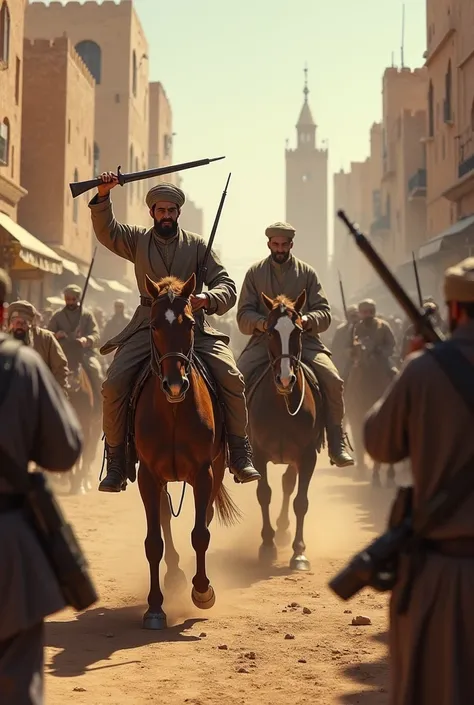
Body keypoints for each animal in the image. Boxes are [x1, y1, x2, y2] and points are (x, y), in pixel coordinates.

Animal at [133, 272, 239, 628]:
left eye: (191, 323)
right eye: (153, 325)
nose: (175, 384)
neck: (174, 411)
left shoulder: (204, 472)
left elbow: (200, 533)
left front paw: (202, 590)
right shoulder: (148, 477)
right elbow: (153, 542)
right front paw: (154, 607)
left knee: (203, 519)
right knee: (165, 520)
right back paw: (175, 574)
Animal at [244, 292, 322, 572]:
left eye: (298, 330)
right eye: (269, 331)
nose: (285, 379)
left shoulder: (307, 457)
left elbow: (301, 501)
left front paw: (299, 553)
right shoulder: (257, 455)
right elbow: (263, 494)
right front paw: (267, 545)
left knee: (289, 484)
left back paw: (284, 528)